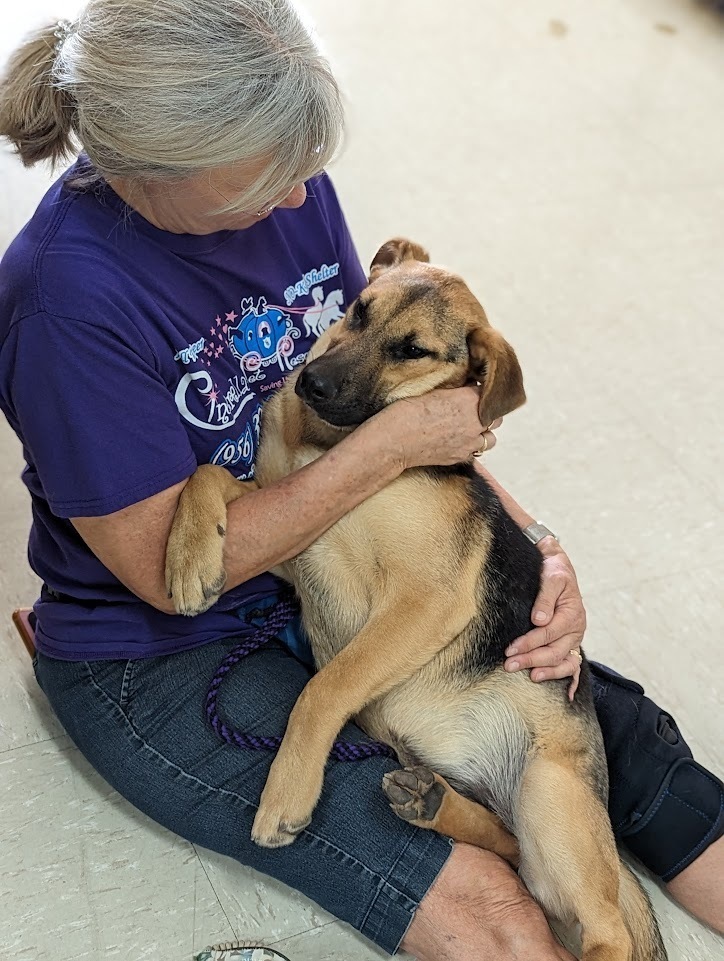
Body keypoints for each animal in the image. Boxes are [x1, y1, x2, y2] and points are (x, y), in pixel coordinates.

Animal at [167, 240, 664, 960]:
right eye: (357, 310)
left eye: (413, 351)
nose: (310, 384)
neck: (332, 446)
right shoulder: (287, 537)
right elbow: (207, 475)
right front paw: (188, 557)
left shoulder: (426, 599)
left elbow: (322, 688)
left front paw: (286, 791)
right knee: (511, 850)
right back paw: (432, 804)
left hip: (550, 797)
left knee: (606, 929)